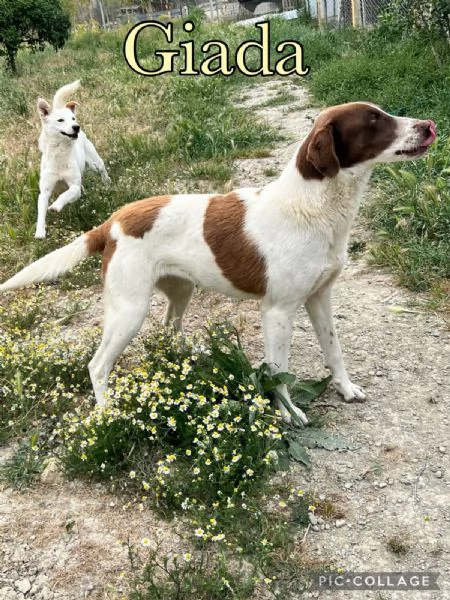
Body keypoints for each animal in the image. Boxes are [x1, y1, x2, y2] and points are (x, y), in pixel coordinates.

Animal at [0, 101, 436, 424]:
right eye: (374, 121)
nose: (430, 125)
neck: (314, 207)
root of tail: (112, 221)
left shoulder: (319, 298)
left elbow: (334, 351)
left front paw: (344, 388)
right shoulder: (278, 311)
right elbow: (278, 370)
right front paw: (288, 413)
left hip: (180, 290)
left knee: (168, 328)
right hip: (129, 310)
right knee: (97, 365)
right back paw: (108, 413)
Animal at [34, 80, 110, 239]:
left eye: (73, 119)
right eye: (60, 120)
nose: (76, 127)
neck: (60, 153)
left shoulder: (74, 186)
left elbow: (65, 195)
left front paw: (56, 206)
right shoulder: (45, 191)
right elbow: (41, 212)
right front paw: (40, 232)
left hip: (95, 162)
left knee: (101, 169)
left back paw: (107, 183)